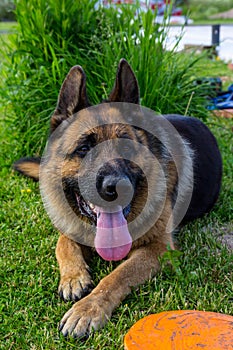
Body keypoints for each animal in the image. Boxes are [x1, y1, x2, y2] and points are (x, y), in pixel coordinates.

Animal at [14, 58, 222, 338]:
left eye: (126, 147)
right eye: (84, 148)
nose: (117, 187)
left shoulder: (159, 248)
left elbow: (118, 275)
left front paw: (88, 309)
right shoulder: (70, 226)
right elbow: (63, 242)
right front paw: (73, 277)